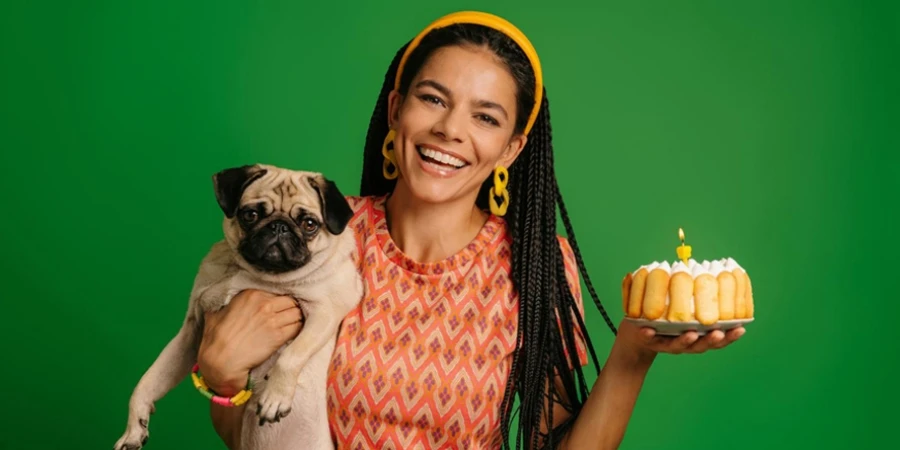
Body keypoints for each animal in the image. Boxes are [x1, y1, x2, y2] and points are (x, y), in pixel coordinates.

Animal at [115, 165, 362, 450]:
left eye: (309, 224)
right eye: (250, 215)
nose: (279, 226)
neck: (260, 274)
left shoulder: (327, 309)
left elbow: (292, 355)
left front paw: (275, 396)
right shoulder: (190, 334)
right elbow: (147, 381)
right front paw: (133, 429)